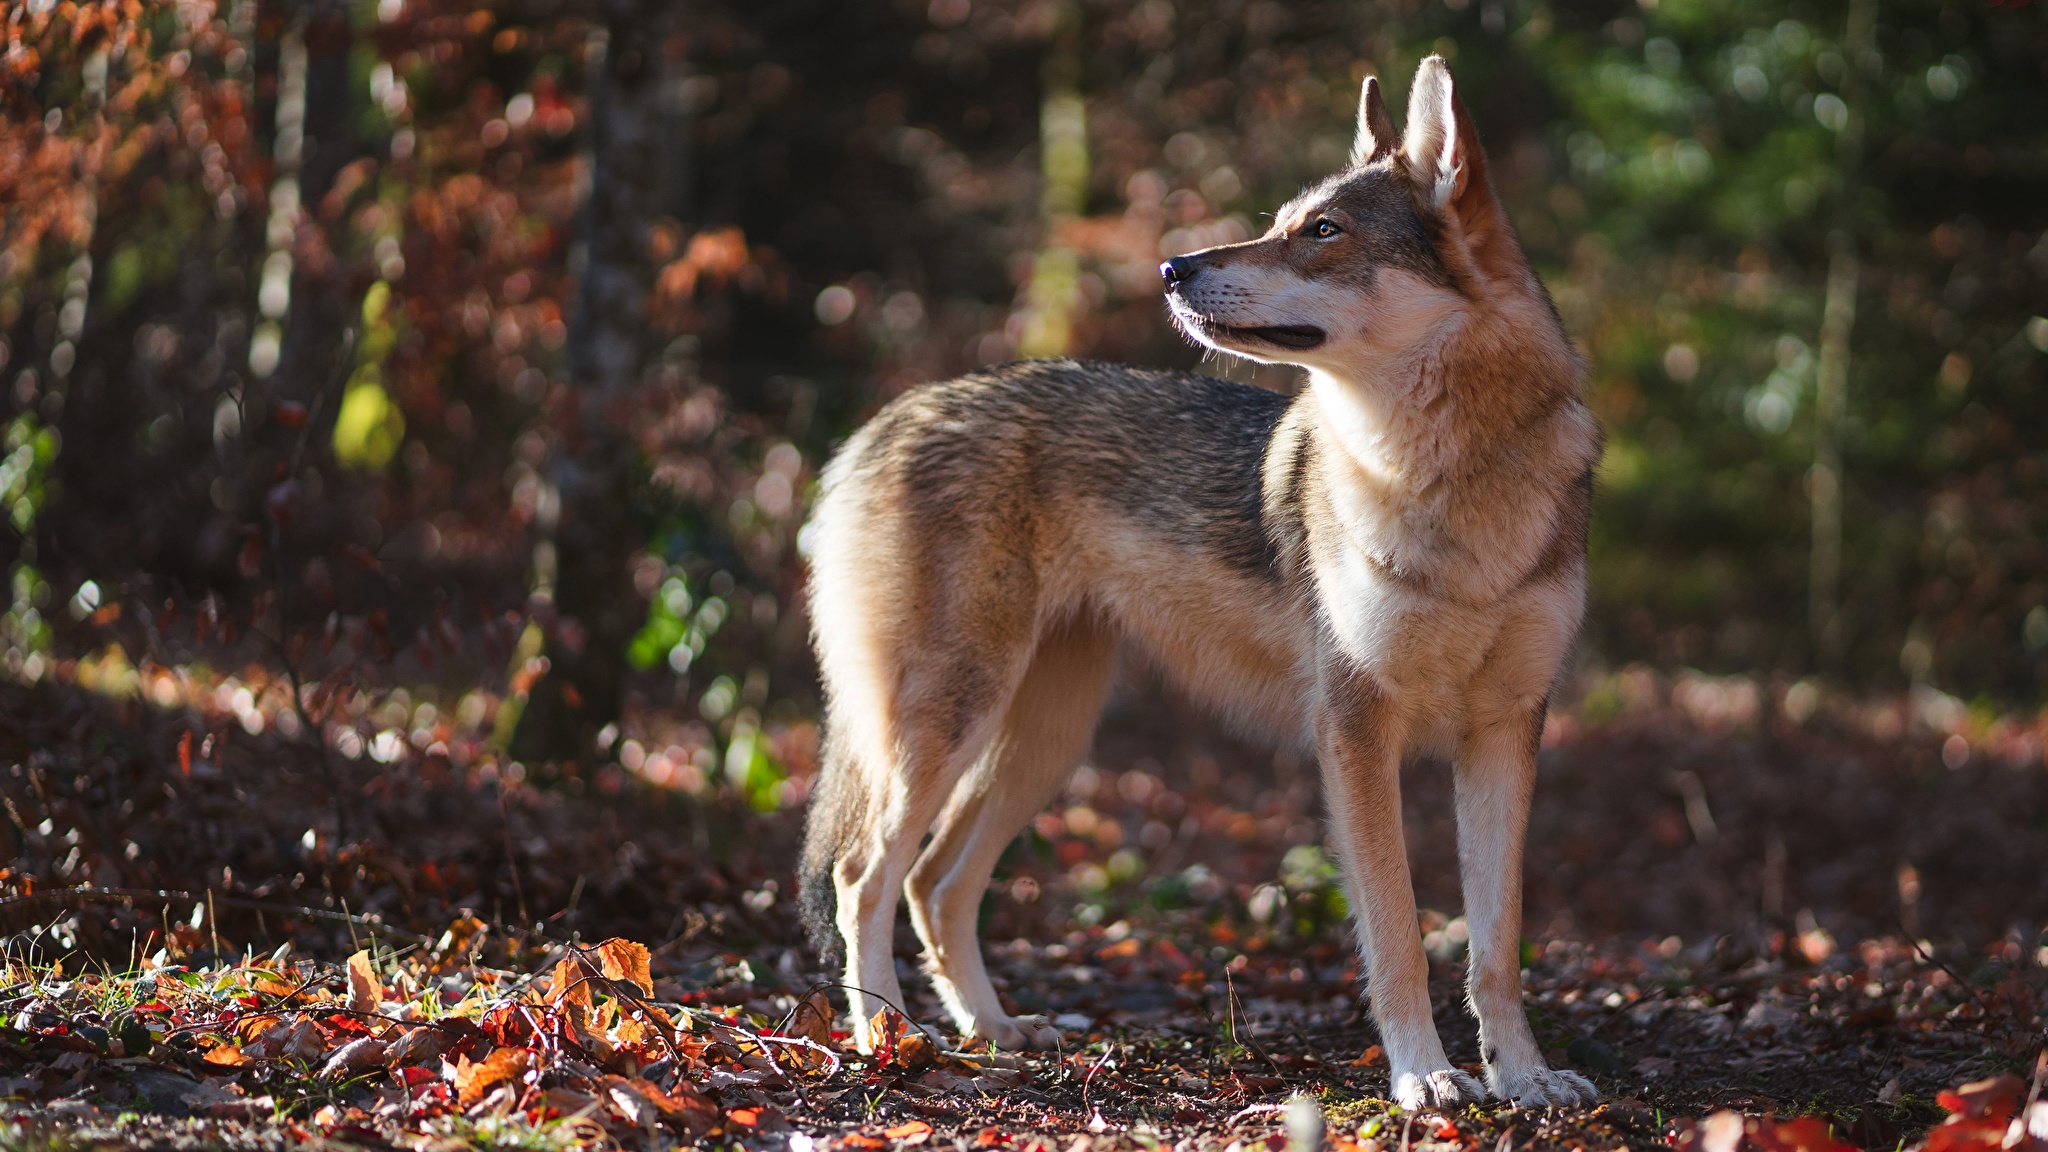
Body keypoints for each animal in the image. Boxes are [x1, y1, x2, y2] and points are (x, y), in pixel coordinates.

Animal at [794, 56, 1597, 1106]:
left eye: (1321, 231)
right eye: (1281, 221)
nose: (1173, 268)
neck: (1454, 482)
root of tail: (884, 422)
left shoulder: (1507, 733)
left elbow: (1496, 946)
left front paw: (1526, 1079)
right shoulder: (1355, 731)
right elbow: (1397, 935)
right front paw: (1424, 1078)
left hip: (1044, 740)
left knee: (936, 883)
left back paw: (994, 1031)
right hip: (947, 727)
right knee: (862, 874)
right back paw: (887, 1038)